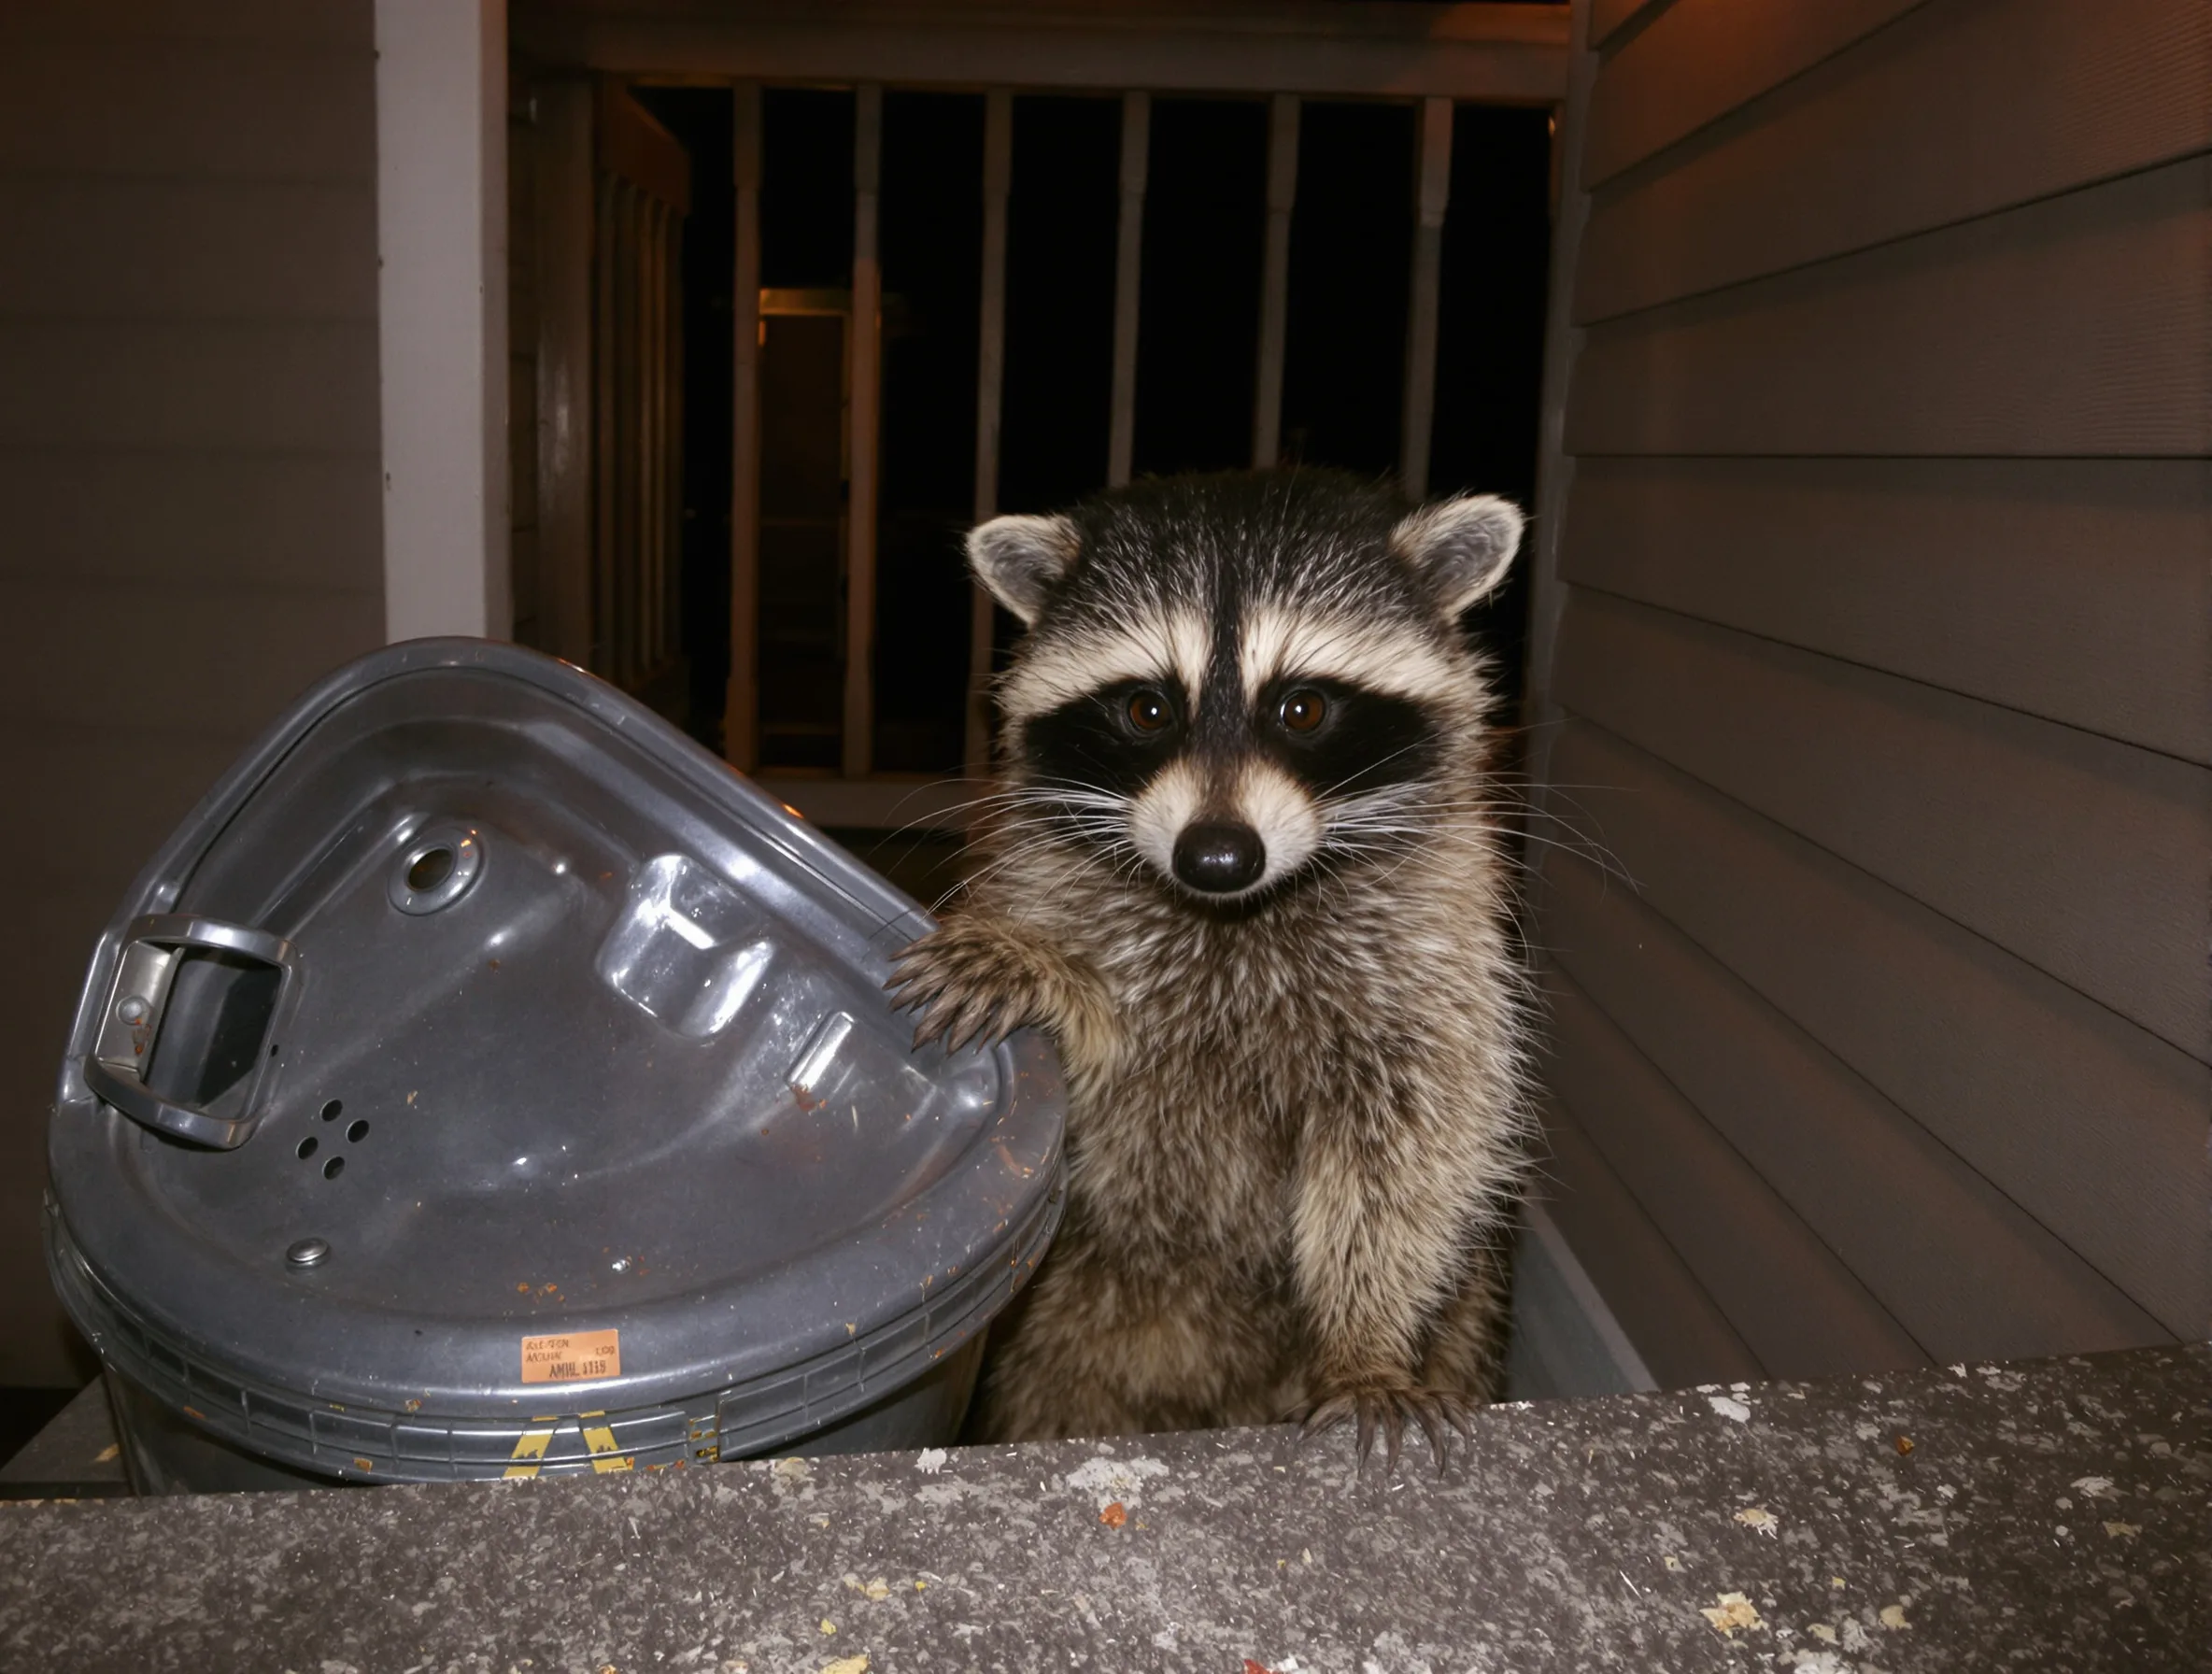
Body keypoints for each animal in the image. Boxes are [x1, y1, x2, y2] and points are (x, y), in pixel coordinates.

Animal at [889, 468, 1530, 1467]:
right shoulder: (1069, 898)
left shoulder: (1435, 951)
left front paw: (1367, 1338)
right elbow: (1090, 1113)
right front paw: (1054, 977)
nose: (1217, 858)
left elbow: (1415, 1146)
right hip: (1065, 1333)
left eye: (1302, 708)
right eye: (1148, 709)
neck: (1233, 916)